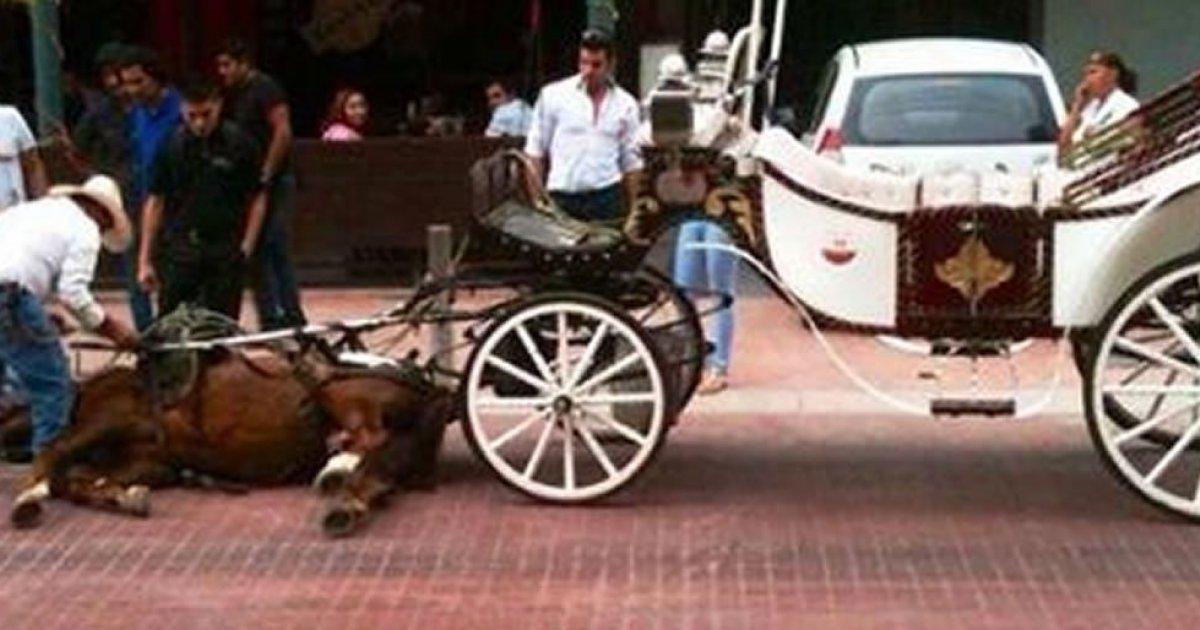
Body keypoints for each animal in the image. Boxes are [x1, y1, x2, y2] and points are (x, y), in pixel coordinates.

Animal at [3, 348, 453, 535]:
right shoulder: (150, 462)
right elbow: (79, 478)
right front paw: (123, 496)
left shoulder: (108, 419)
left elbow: (55, 454)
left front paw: (28, 499)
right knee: (375, 467)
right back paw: (345, 486)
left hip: (344, 393)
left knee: (368, 434)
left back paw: (336, 468)